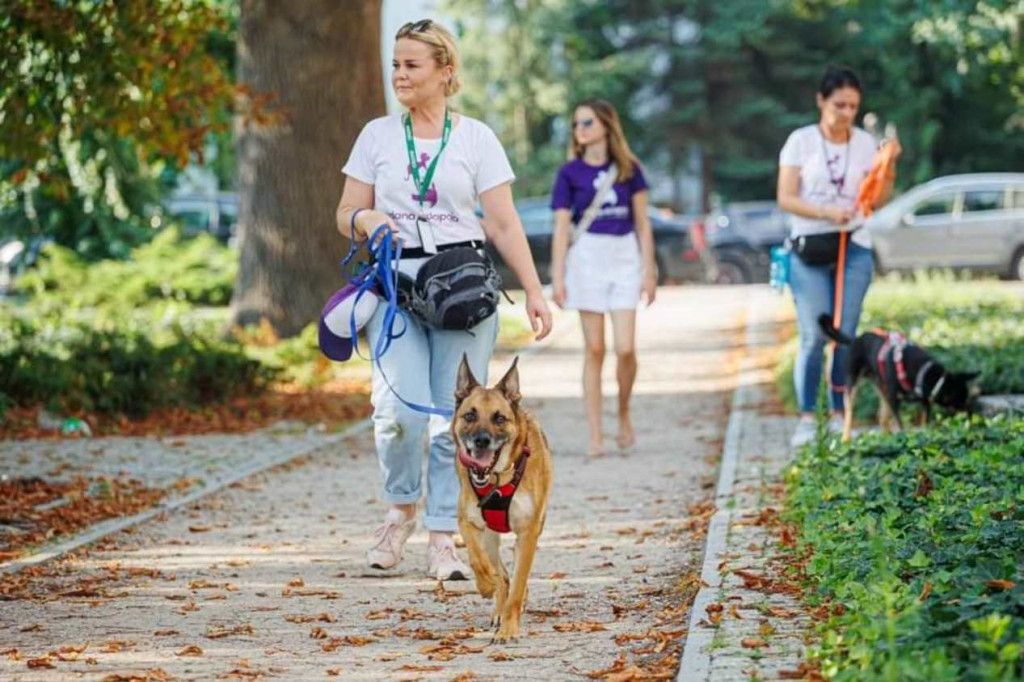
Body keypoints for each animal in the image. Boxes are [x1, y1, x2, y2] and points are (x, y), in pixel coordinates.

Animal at [454, 352, 552, 638]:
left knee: (516, 575)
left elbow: (519, 584)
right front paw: (486, 584)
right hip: (490, 534)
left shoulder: (528, 531)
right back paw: (496, 602)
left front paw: (509, 628)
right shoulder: (467, 521)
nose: (481, 440)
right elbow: (477, 559)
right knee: (500, 570)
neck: (497, 480)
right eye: (470, 415)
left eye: (499, 418)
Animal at [815, 313, 974, 440]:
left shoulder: (924, 401)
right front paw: (904, 436)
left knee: (882, 417)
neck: (924, 372)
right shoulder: (894, 398)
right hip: (854, 386)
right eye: (960, 400)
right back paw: (846, 438)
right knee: (850, 412)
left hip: (881, 388)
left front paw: (925, 434)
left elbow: (924, 420)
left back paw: (887, 437)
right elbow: (900, 423)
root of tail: (856, 339)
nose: (970, 417)